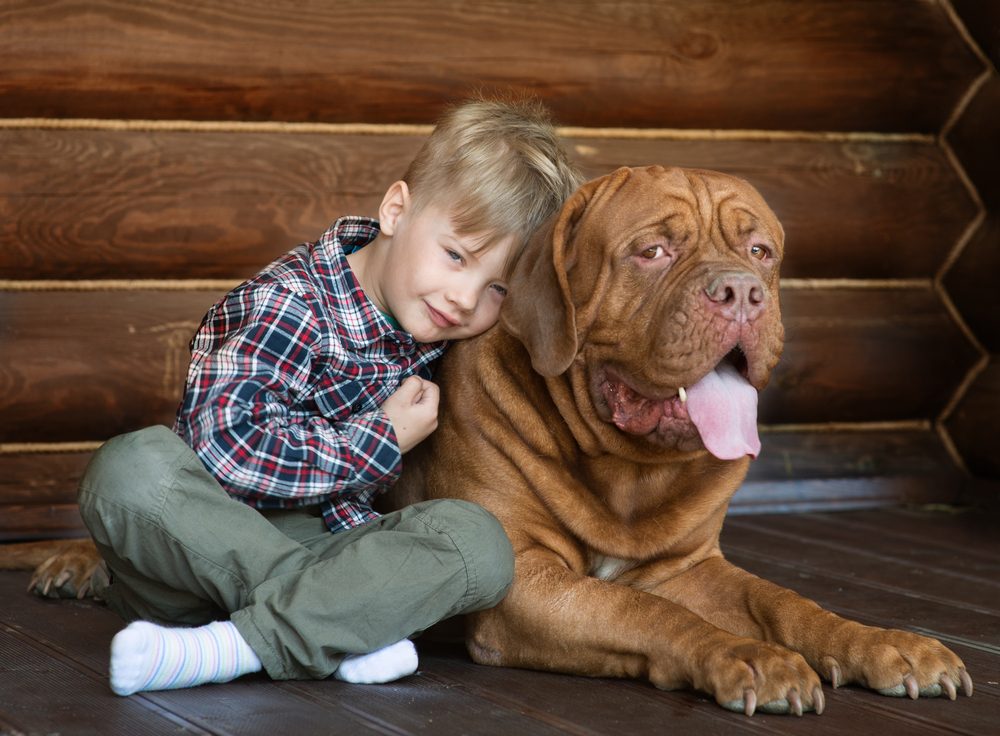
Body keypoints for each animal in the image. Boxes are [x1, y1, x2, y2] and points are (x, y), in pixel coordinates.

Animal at [0, 165, 968, 712]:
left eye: (762, 251)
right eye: (653, 251)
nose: (741, 292)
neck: (626, 473)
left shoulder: (692, 569)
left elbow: (787, 603)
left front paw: (886, 644)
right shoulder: (529, 584)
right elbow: (645, 613)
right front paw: (744, 658)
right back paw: (81, 567)